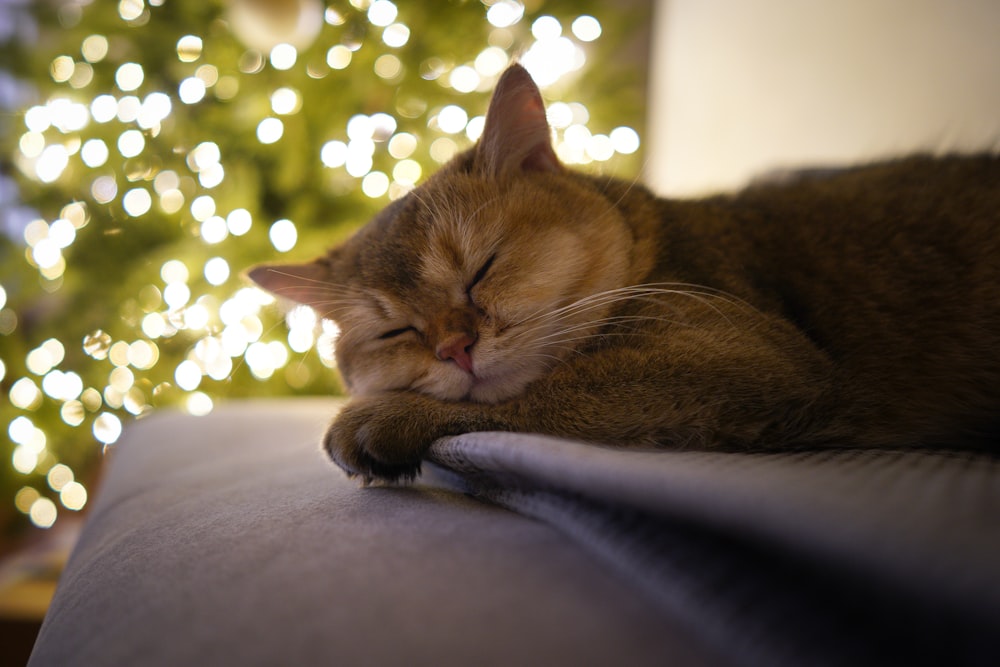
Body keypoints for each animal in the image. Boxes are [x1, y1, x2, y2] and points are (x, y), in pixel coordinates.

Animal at [250, 65, 1000, 482]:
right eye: (395, 332)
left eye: (482, 269)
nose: (454, 348)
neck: (656, 237)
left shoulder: (752, 357)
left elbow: (534, 392)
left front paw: (384, 416)